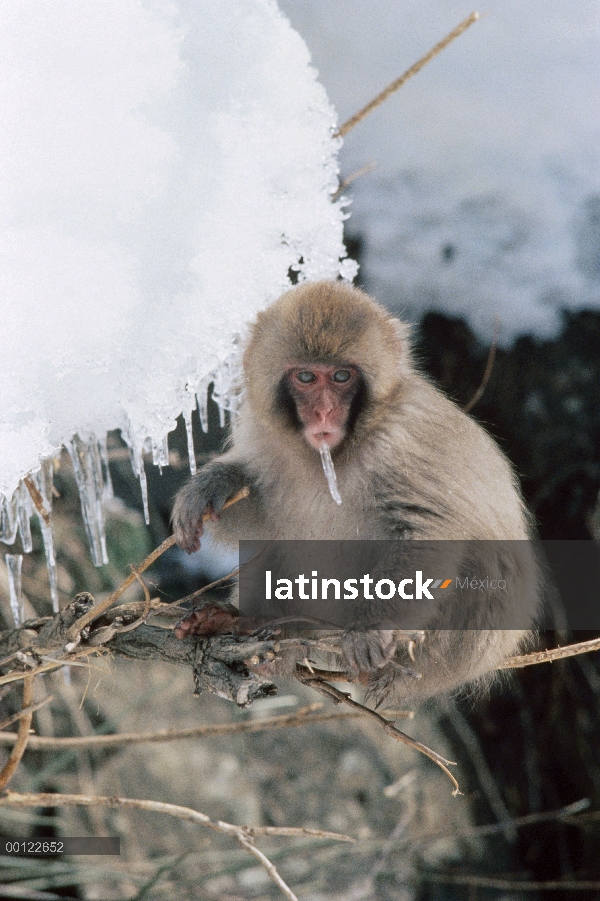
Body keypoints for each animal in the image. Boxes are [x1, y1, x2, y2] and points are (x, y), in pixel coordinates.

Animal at [172, 282, 540, 704]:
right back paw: (250, 627)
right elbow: (259, 516)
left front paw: (371, 630)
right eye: (306, 377)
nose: (323, 412)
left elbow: (430, 530)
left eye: (341, 376)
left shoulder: (400, 439)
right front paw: (211, 487)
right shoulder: (262, 432)